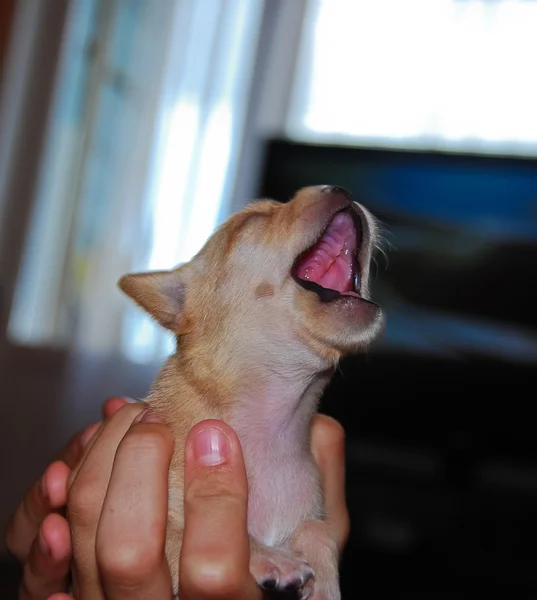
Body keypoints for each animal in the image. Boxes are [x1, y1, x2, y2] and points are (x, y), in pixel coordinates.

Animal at [119, 185, 384, 596]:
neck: (278, 421)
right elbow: (178, 536)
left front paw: (325, 583)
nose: (340, 189)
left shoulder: (309, 513)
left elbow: (318, 529)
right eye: (252, 220)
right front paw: (266, 556)